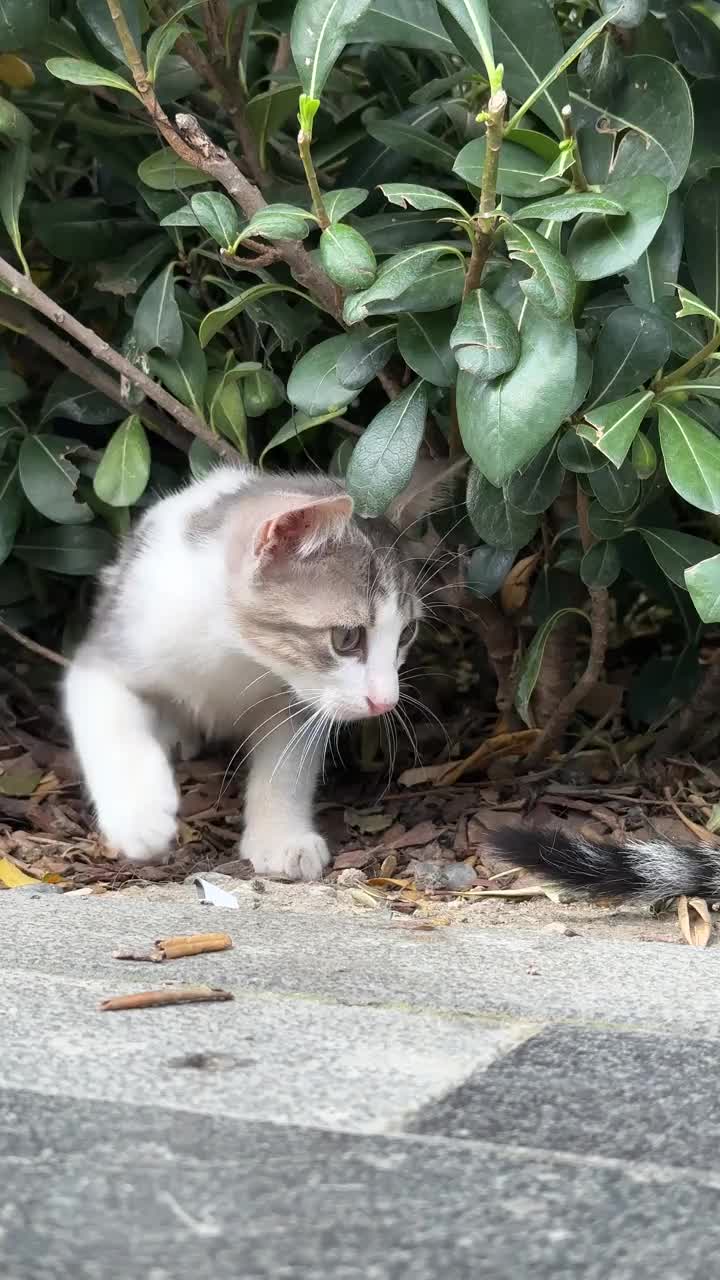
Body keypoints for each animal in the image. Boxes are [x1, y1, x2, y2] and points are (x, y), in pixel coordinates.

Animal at [63, 463, 425, 880]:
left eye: (407, 633)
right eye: (346, 637)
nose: (385, 702)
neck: (233, 651)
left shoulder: (296, 700)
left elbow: (287, 765)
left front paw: (281, 838)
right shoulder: (112, 644)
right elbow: (110, 723)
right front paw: (140, 818)